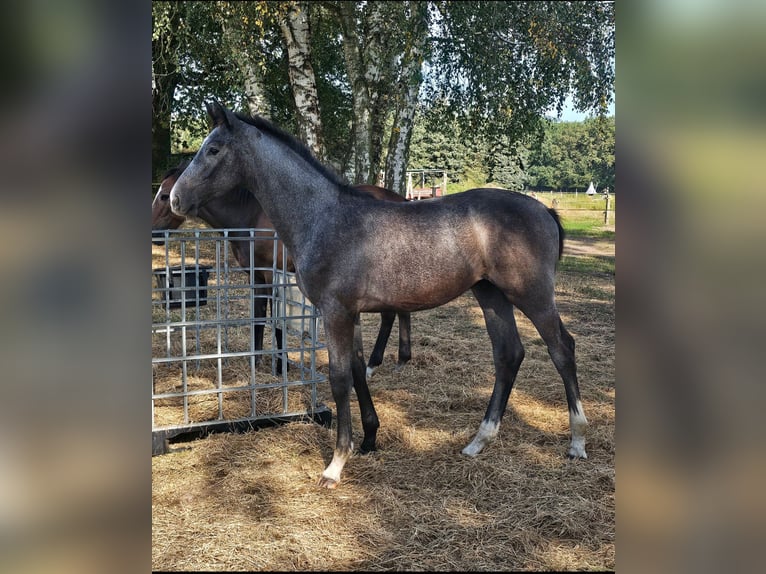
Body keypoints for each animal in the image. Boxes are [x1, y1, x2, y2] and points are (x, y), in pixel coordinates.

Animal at [152, 162, 414, 378]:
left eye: (164, 195)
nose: (154, 233)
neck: (252, 217)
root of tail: (402, 201)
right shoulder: (257, 277)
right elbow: (259, 318)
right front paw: (260, 362)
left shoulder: (274, 275)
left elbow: (276, 321)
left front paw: (280, 366)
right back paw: (400, 359)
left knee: (389, 315)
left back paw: (373, 364)